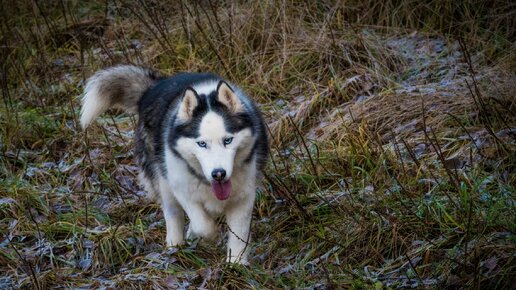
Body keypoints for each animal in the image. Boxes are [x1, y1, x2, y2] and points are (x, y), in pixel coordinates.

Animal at [80, 65, 268, 262]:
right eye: (202, 143)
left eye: (228, 140)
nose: (219, 173)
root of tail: (153, 87)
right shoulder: (181, 189)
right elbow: (203, 225)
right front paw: (210, 235)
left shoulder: (244, 197)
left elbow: (239, 236)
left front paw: (236, 263)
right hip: (163, 181)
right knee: (173, 213)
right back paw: (174, 246)